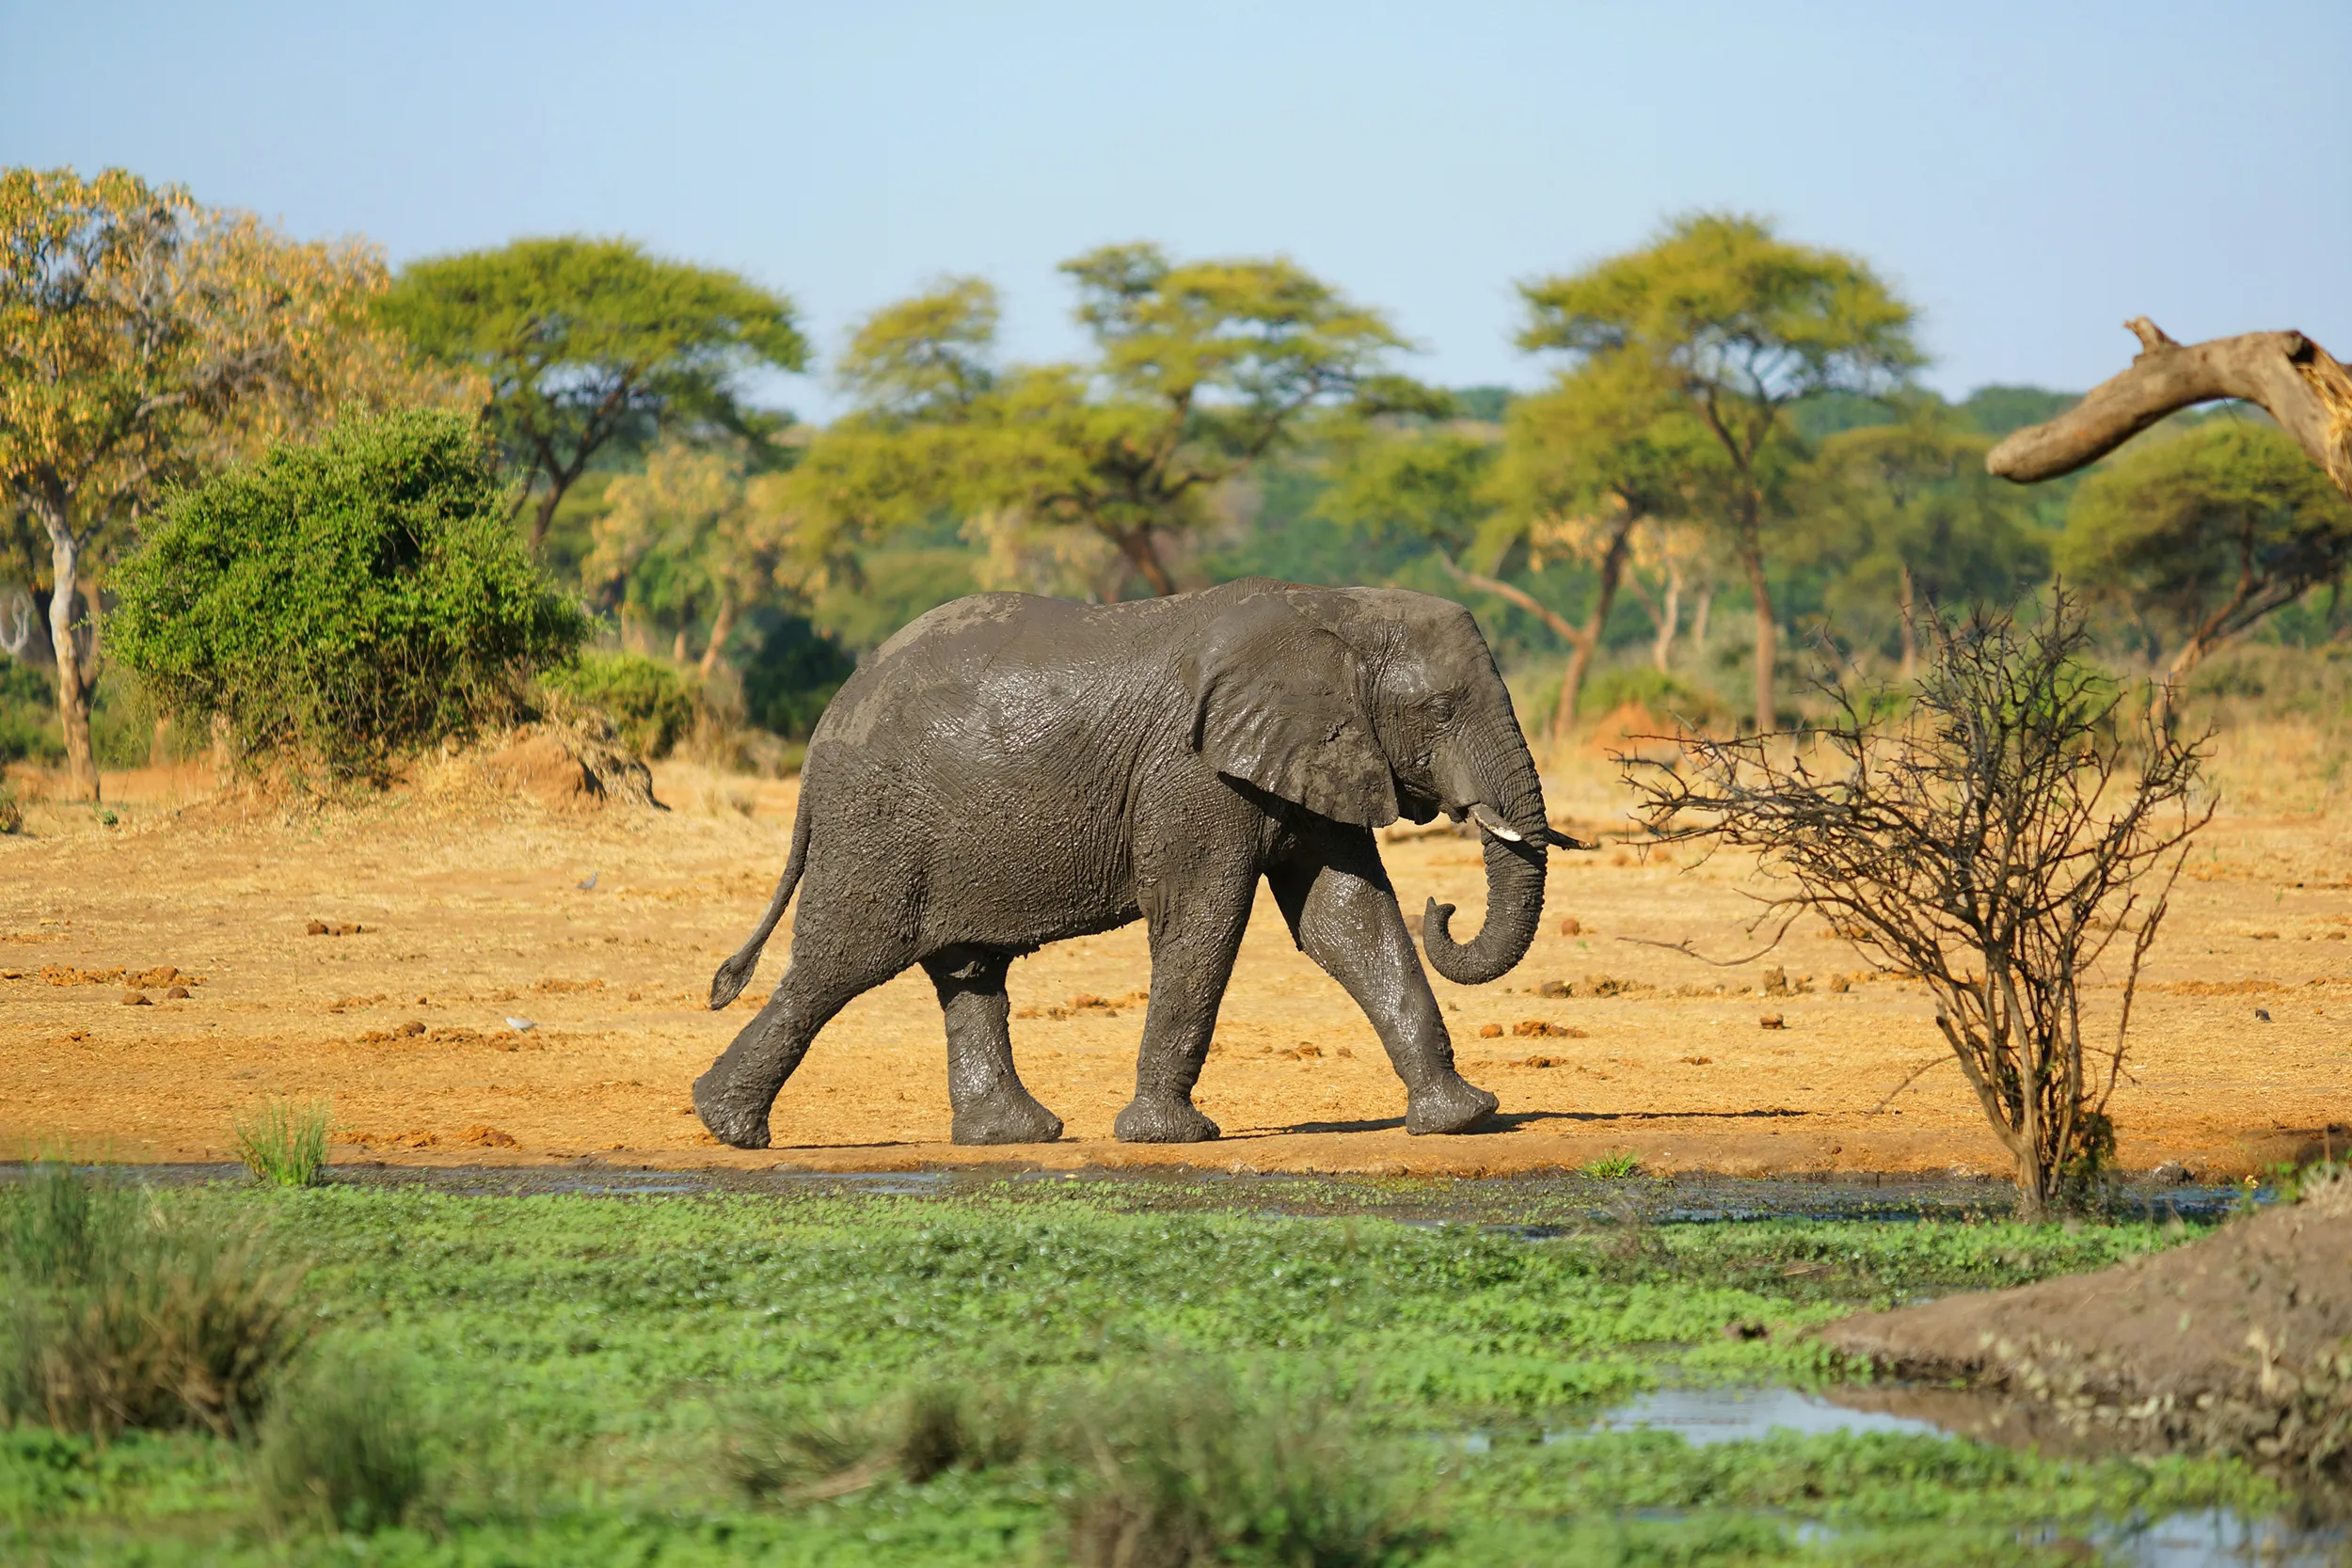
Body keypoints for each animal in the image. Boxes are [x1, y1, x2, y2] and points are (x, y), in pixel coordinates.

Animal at [693, 576, 1582, 1150]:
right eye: (1439, 710)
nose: (1449, 906)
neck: (1335, 609)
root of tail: (824, 725)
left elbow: (1349, 921)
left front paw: (1464, 1118)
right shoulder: (1192, 774)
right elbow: (1205, 919)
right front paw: (1171, 1137)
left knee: (968, 972)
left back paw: (1014, 1136)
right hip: (878, 824)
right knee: (839, 963)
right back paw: (728, 1127)